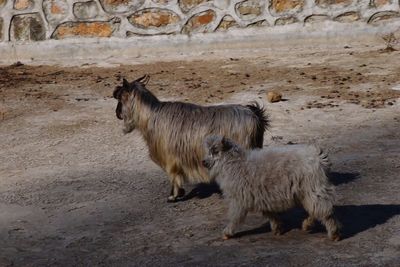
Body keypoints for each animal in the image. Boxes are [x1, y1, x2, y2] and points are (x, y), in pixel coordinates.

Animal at [113, 75, 268, 201]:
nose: (117, 114)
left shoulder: (170, 158)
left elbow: (173, 176)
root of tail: (255, 115)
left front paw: (173, 196)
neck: (152, 116)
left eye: (120, 96)